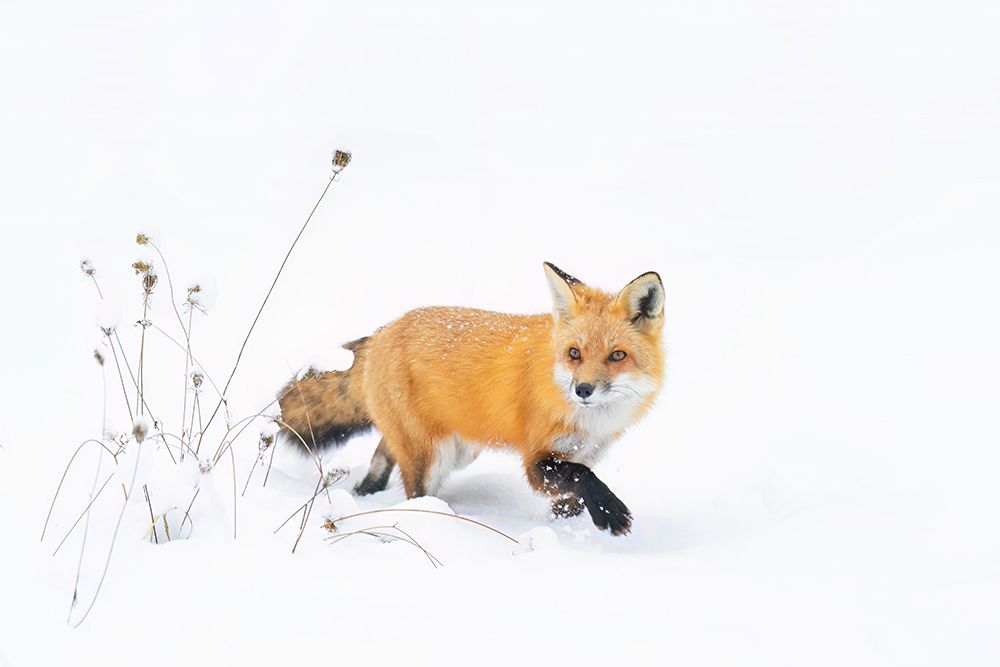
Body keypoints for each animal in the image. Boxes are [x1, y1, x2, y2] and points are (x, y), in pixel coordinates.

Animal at [277, 262, 665, 535]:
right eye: (574, 354)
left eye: (617, 356)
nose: (583, 390)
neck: (592, 423)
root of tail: (384, 332)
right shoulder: (538, 460)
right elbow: (582, 478)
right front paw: (610, 512)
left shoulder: (584, 453)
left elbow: (572, 497)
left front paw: (570, 527)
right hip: (433, 457)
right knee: (415, 493)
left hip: (458, 450)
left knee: (383, 452)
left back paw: (367, 491)